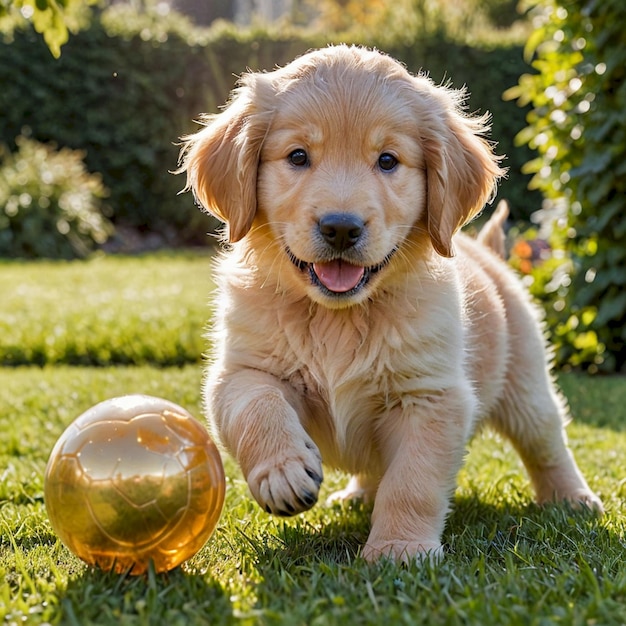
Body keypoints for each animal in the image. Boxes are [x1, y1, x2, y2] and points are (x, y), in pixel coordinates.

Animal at [176, 45, 600, 560]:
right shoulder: (241, 369)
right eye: (297, 156)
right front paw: (282, 471)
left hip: (527, 385)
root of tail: (488, 251)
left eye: (387, 160)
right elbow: (257, 407)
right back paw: (357, 494)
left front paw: (401, 548)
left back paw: (572, 498)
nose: (341, 227)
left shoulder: (432, 396)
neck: (338, 317)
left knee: (547, 442)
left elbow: (413, 479)